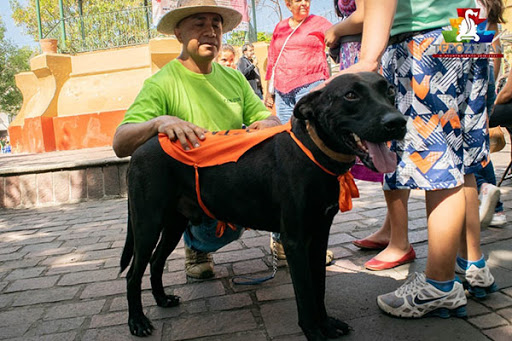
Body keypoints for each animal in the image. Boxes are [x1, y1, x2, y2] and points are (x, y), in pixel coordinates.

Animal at [121, 71, 408, 338]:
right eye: (350, 95)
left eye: (390, 90)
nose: (398, 122)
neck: (313, 152)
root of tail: (141, 149)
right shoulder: (295, 240)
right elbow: (306, 293)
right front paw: (313, 331)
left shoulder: (319, 235)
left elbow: (319, 286)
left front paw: (326, 323)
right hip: (147, 225)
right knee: (133, 273)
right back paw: (137, 322)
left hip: (174, 224)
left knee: (156, 261)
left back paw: (162, 299)